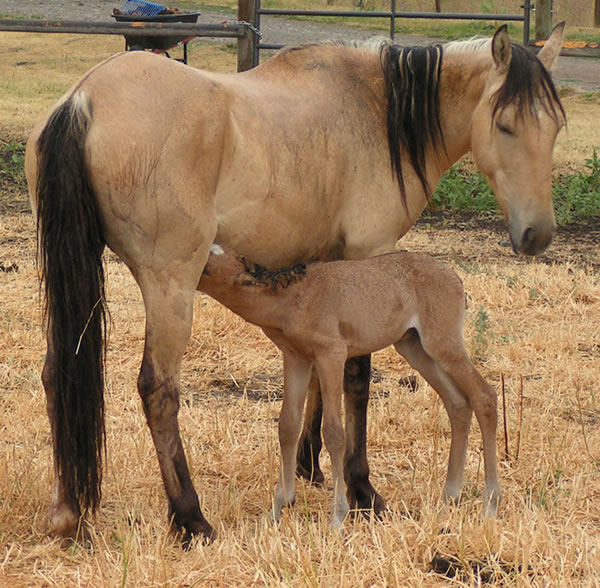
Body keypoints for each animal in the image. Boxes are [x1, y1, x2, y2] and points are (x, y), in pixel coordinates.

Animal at [199, 243, 500, 528]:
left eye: (207, 267)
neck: (296, 296)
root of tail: (456, 279)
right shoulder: (296, 359)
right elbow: (287, 426)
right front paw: (279, 507)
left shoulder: (331, 354)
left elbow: (334, 431)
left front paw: (338, 517)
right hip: (414, 347)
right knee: (458, 403)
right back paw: (450, 495)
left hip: (443, 344)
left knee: (484, 396)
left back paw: (490, 503)